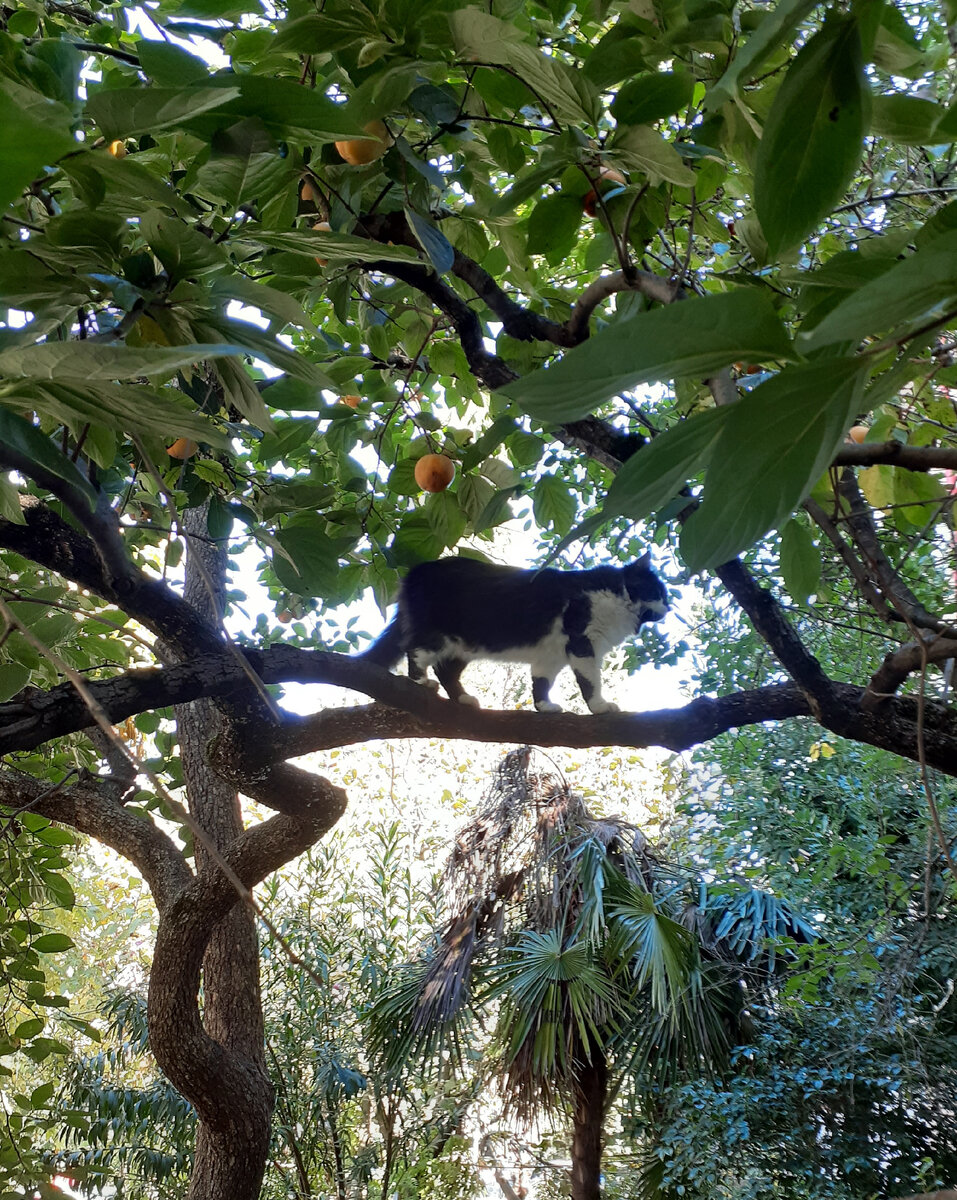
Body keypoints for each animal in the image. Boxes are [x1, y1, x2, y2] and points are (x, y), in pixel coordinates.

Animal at [359, 554, 669, 714]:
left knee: (445, 670)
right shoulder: (583, 642)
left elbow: (541, 683)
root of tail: (416, 572)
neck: (616, 596)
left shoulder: (550, 657)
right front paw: (600, 706)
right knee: (415, 651)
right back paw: (421, 683)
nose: (668, 607)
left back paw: (463, 699)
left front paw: (544, 706)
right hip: (437, 632)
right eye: (659, 592)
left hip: (464, 646)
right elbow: (591, 681)